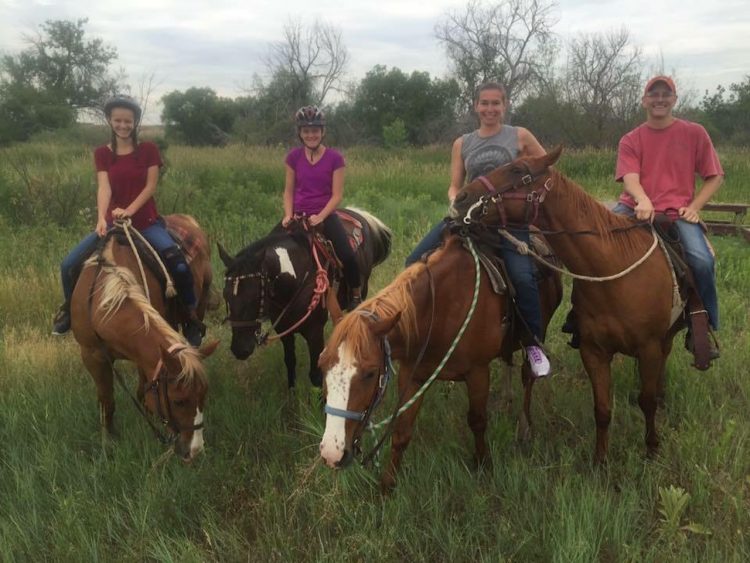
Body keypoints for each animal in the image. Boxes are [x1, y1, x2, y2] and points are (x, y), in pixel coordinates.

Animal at [71, 214, 217, 460]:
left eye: (204, 395)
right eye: (179, 401)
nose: (194, 450)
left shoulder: (144, 355)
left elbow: (143, 390)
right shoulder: (92, 355)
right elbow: (106, 401)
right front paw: (108, 441)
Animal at [219, 209, 390, 390]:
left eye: (254, 296)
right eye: (226, 295)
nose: (240, 349)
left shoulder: (314, 331)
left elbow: (316, 375)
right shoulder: (283, 329)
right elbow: (290, 363)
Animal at [318, 234, 564, 490]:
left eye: (369, 373)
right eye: (321, 366)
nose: (332, 453)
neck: (438, 311)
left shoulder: (478, 373)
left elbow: (477, 421)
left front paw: (483, 463)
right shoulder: (412, 375)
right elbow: (402, 432)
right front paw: (387, 485)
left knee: (528, 377)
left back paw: (524, 427)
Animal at [452, 148, 688, 464]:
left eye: (517, 170)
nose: (462, 198)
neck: (613, 269)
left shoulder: (648, 346)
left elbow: (646, 402)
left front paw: (651, 448)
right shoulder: (593, 350)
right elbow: (602, 410)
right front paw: (600, 461)